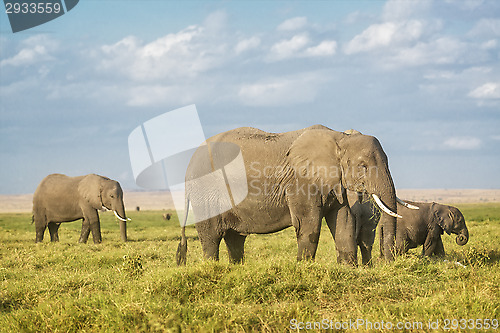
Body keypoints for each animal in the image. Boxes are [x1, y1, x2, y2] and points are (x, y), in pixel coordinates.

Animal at [175, 124, 414, 264]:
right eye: (363, 166)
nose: (388, 263)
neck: (339, 137)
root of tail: (188, 167)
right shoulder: (300, 181)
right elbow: (309, 224)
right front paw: (304, 268)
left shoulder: (336, 182)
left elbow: (344, 220)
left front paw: (348, 269)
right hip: (206, 192)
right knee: (211, 236)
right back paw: (211, 268)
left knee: (235, 239)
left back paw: (236, 268)